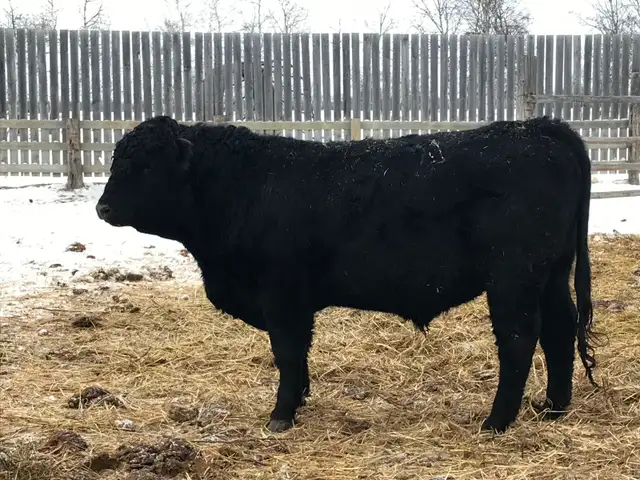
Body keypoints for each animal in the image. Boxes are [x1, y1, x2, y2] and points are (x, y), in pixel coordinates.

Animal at [95, 114, 599, 434]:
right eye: (118, 158)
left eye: (144, 163)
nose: (102, 208)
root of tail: (537, 127)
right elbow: (298, 356)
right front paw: (298, 400)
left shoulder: (281, 294)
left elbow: (287, 353)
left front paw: (281, 415)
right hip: (552, 273)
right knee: (559, 329)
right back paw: (553, 407)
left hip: (514, 277)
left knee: (519, 339)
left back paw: (496, 422)